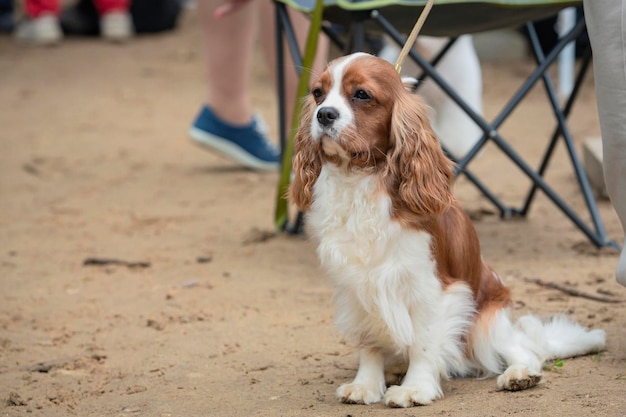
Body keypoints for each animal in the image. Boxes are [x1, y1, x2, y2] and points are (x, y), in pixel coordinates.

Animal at [288, 52, 604, 406]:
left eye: (362, 95)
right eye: (318, 93)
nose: (324, 114)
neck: (363, 180)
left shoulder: (433, 289)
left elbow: (424, 344)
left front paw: (415, 388)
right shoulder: (356, 290)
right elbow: (369, 341)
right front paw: (366, 385)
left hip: (486, 321)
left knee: (523, 350)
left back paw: (520, 374)